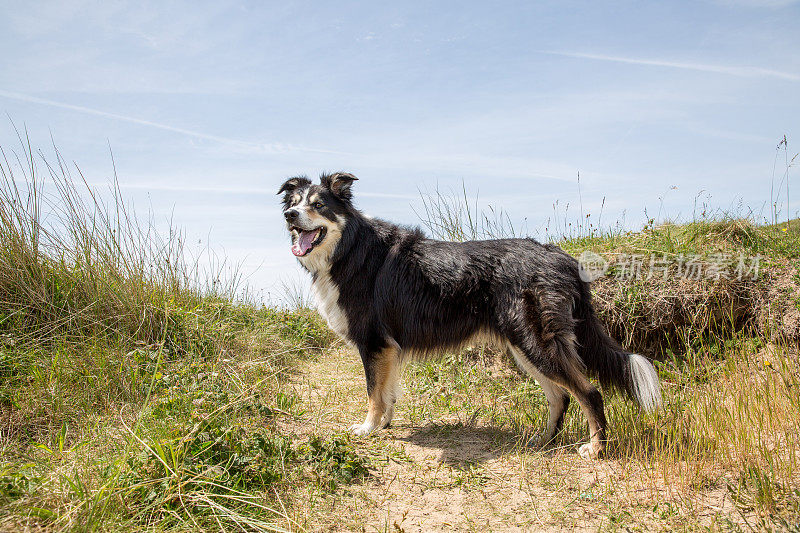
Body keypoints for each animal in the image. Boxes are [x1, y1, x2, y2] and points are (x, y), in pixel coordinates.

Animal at [278, 170, 660, 458]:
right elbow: (387, 391)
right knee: (561, 396)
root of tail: (561, 256)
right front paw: (385, 424)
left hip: (534, 342)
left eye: (319, 206)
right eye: (294, 203)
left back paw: (596, 449)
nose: (289, 217)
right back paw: (544, 441)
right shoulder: (389, 347)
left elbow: (374, 392)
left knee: (588, 393)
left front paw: (368, 428)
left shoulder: (373, 343)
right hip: (524, 347)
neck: (349, 247)